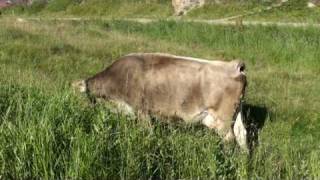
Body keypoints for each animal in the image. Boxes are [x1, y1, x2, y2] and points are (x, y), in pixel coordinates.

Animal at [72, 53, 248, 150]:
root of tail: (233, 65)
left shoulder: (142, 112)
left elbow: (148, 134)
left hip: (222, 119)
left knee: (230, 139)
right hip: (233, 116)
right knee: (242, 135)